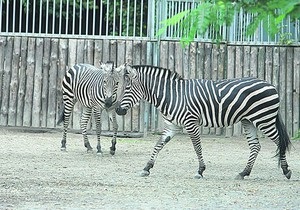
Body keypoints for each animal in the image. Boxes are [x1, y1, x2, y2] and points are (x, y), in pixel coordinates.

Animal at [114, 64, 290, 179]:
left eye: (127, 88)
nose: (117, 110)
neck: (173, 95)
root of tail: (271, 85)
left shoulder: (191, 123)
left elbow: (197, 147)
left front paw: (200, 170)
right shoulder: (172, 126)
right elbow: (158, 145)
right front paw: (147, 167)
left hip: (264, 119)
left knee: (279, 141)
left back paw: (286, 170)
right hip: (249, 121)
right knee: (255, 146)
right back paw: (243, 173)